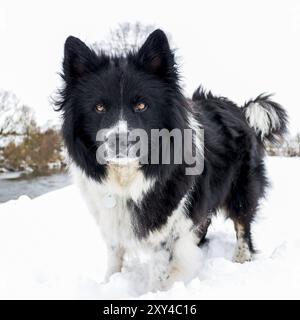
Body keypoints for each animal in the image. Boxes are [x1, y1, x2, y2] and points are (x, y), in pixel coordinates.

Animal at [55, 30, 288, 288]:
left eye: (141, 105)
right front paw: (109, 284)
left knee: (242, 224)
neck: (127, 176)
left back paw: (240, 259)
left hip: (240, 187)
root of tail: (242, 109)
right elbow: (114, 256)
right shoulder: (112, 219)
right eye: (98, 107)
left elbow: (161, 268)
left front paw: (156, 291)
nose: (120, 141)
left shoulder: (169, 225)